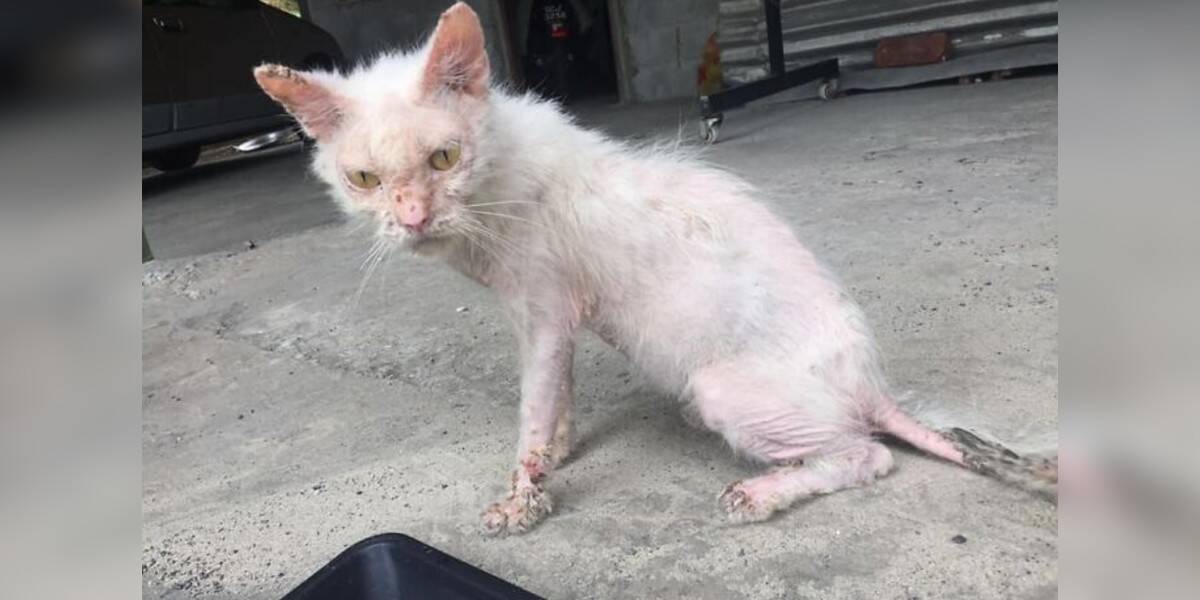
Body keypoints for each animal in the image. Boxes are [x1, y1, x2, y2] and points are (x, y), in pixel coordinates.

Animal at [255, 0, 1060, 535]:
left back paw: (763, 494)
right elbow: (558, 397)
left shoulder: (543, 310)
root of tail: (872, 384)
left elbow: (531, 407)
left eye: (444, 157)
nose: (413, 219)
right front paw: (557, 455)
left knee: (868, 454)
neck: (488, 202)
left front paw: (524, 496)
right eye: (363, 179)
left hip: (722, 388)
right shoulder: (550, 318)